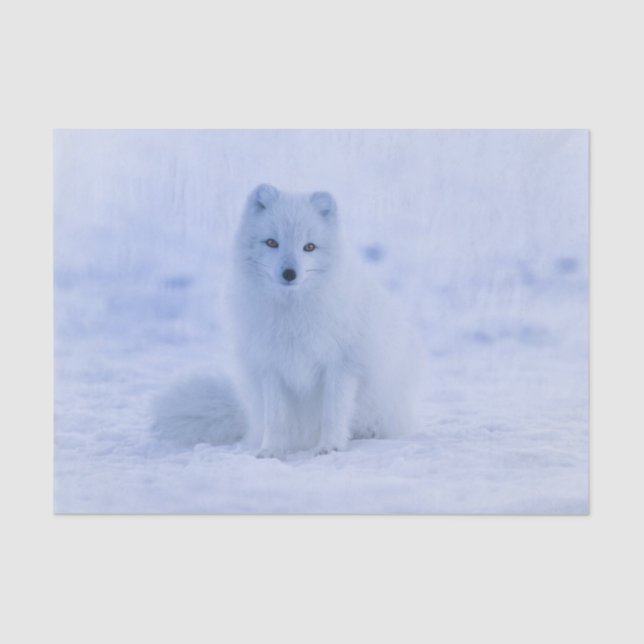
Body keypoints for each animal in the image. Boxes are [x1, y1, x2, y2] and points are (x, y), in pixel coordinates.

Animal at [152, 184, 423, 458]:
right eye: (272, 242)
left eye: (309, 247)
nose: (290, 273)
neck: (292, 315)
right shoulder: (271, 366)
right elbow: (276, 418)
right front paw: (271, 451)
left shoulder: (341, 365)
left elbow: (333, 414)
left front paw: (329, 447)